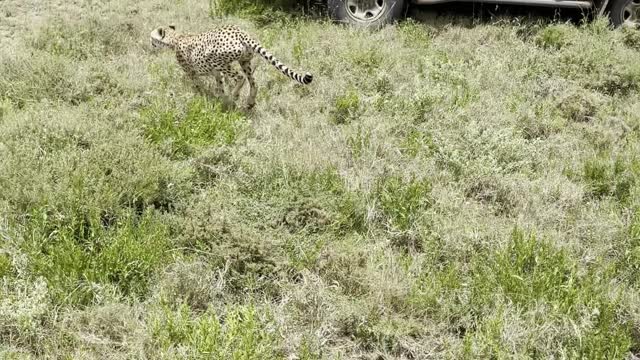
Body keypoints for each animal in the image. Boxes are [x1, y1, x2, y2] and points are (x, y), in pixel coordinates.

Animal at [148, 24, 312, 107]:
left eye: (152, 37)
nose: (149, 42)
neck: (175, 39)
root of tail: (241, 32)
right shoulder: (216, 73)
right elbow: (220, 86)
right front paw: (221, 100)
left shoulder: (192, 72)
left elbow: (197, 85)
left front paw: (204, 96)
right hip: (244, 61)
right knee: (253, 82)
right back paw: (249, 102)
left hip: (217, 60)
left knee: (240, 78)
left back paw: (235, 95)